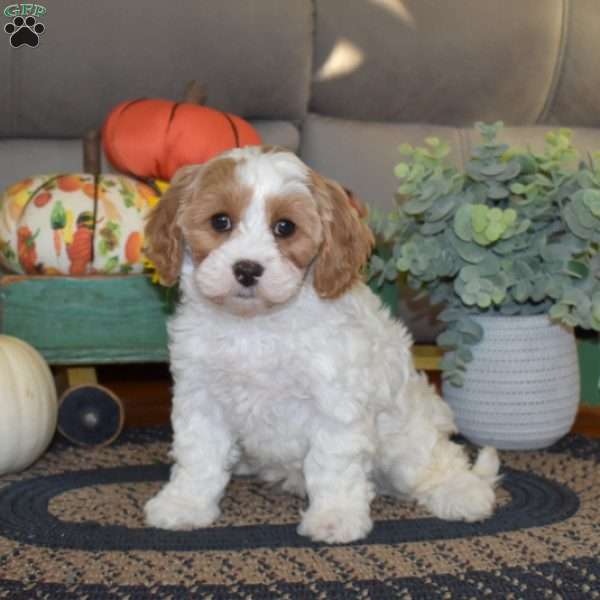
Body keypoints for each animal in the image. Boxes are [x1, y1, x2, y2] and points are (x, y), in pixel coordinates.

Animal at [143, 144, 500, 544]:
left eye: (285, 227)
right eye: (220, 222)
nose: (247, 269)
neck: (256, 324)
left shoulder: (335, 404)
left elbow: (332, 462)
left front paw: (335, 517)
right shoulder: (201, 397)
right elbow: (198, 454)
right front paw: (184, 504)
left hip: (406, 441)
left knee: (439, 460)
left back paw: (463, 493)